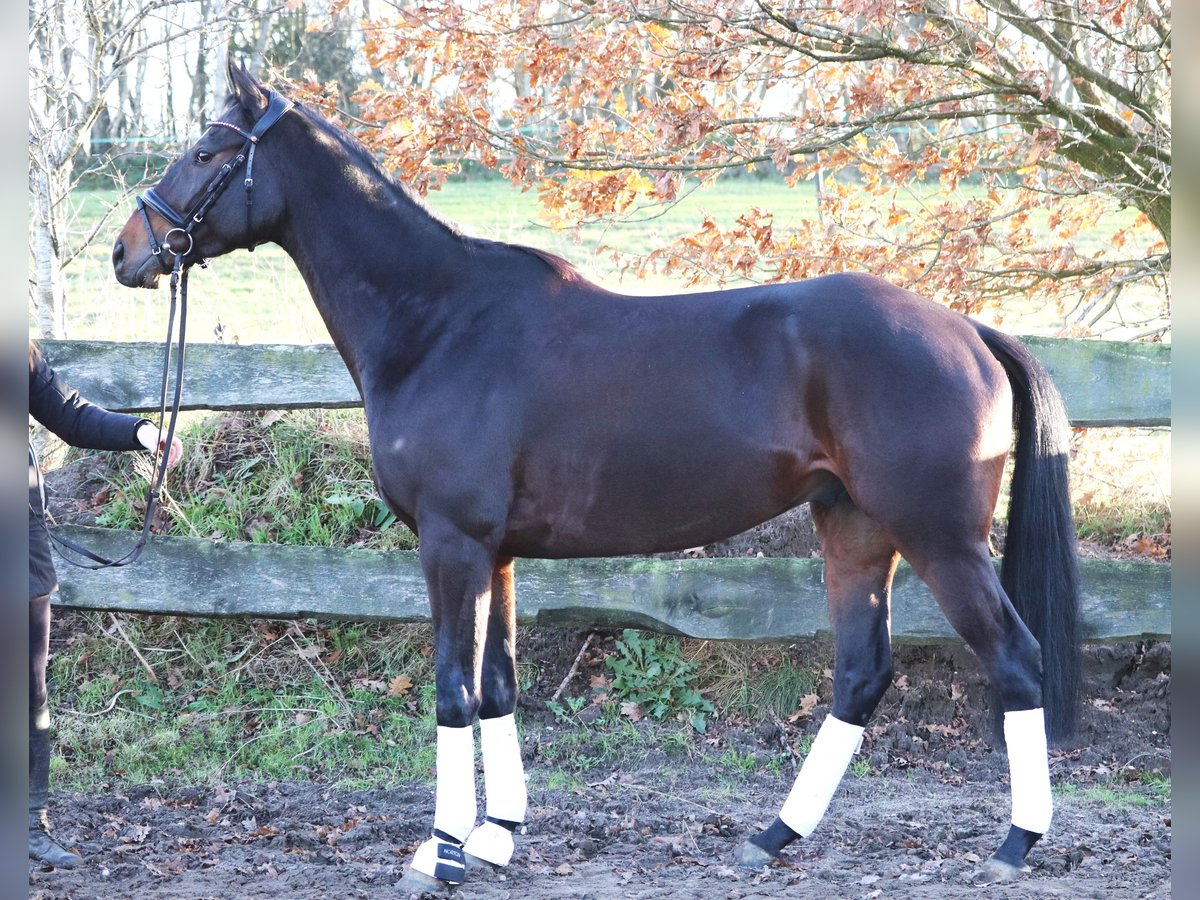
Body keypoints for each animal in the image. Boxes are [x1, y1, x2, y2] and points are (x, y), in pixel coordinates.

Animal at [117, 63, 1084, 888]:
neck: (440, 322)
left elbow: (452, 693)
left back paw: (1015, 844)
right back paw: (772, 837)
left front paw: (442, 853)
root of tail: (965, 329)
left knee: (1017, 660)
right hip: (853, 530)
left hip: (940, 539)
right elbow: (498, 685)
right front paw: (496, 837)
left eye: (205, 152)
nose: (130, 253)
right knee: (859, 675)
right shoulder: (496, 553)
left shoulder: (451, 545)